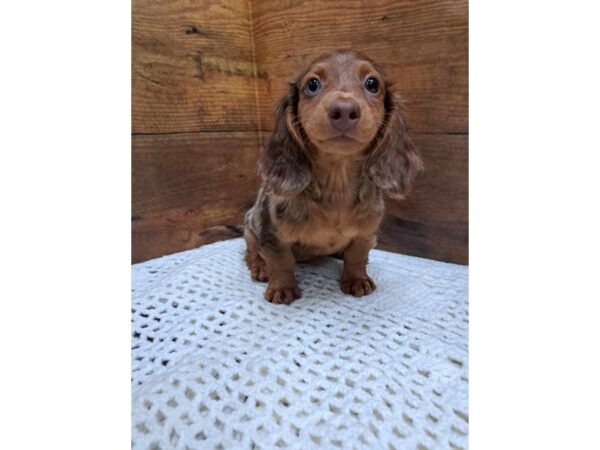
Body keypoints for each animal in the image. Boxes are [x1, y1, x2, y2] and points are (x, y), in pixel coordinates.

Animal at [243, 50, 422, 306]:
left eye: (372, 84)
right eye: (312, 84)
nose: (345, 110)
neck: (338, 182)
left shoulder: (366, 231)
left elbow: (358, 254)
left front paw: (356, 279)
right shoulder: (271, 231)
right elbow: (281, 260)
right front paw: (282, 287)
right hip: (250, 224)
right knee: (251, 249)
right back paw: (259, 266)